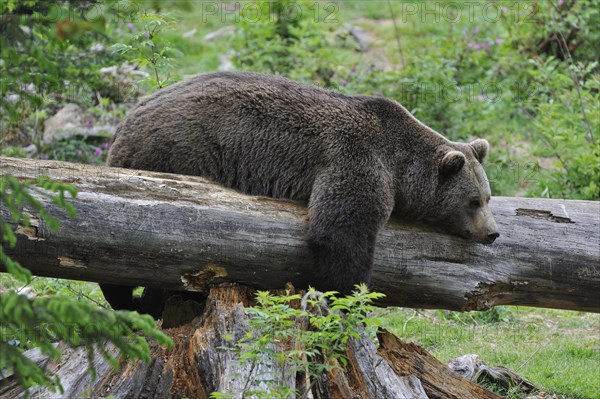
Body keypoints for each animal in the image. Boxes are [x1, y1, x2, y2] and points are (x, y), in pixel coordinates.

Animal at [101, 72, 500, 314]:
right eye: (473, 202)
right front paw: (349, 295)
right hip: (179, 152)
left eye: (487, 197)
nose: (493, 233)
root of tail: (126, 124)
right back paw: (136, 300)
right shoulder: (356, 159)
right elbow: (339, 233)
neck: (402, 167)